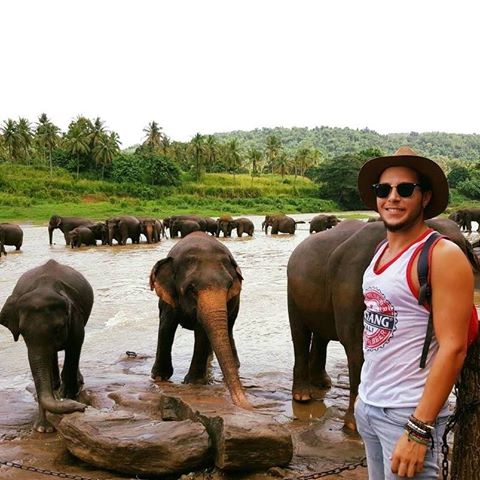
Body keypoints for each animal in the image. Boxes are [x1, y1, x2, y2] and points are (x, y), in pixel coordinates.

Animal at [0, 259, 94, 432]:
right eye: (22, 333)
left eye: (57, 329)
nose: (82, 407)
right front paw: (43, 429)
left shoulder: (75, 317)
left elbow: (74, 346)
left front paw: (68, 394)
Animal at [149, 231, 251, 410]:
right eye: (191, 288)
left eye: (229, 285)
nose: (248, 405)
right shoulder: (168, 297)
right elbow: (167, 325)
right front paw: (160, 377)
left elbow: (202, 330)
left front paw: (193, 382)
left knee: (228, 328)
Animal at [287, 218, 480, 431]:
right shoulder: (349, 283)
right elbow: (354, 343)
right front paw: (355, 426)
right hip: (292, 291)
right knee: (300, 333)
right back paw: (303, 397)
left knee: (321, 335)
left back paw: (322, 384)